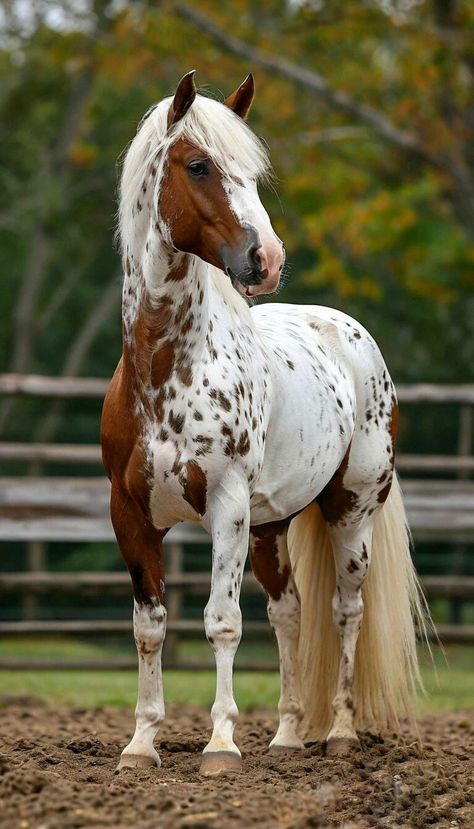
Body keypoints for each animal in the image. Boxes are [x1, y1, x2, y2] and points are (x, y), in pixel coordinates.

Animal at [102, 71, 428, 776]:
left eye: (253, 174)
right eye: (199, 166)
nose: (268, 258)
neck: (166, 369)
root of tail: (352, 336)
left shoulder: (226, 509)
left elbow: (222, 621)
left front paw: (221, 746)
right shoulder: (131, 516)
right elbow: (149, 627)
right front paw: (141, 744)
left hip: (349, 512)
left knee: (344, 611)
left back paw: (339, 732)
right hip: (271, 527)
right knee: (290, 614)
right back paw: (285, 736)